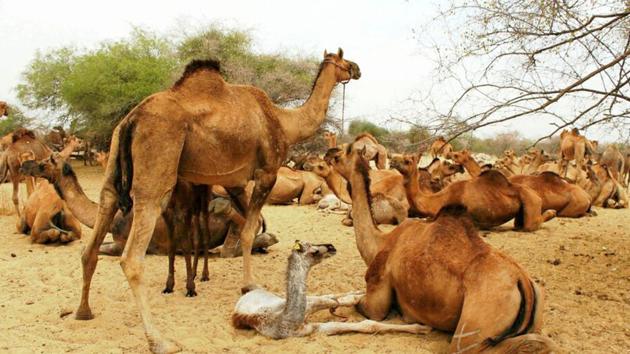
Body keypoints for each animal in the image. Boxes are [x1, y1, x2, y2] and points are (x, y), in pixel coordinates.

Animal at [75, 48, 360, 352]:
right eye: (343, 59)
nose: (356, 69)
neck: (283, 121)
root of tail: (132, 119)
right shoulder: (266, 173)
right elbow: (248, 230)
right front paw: (249, 285)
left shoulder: (233, 182)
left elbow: (251, 225)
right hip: (156, 168)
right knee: (132, 258)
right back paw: (160, 341)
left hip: (114, 156)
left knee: (95, 233)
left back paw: (83, 311)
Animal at [233, 241, 434, 338]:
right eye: (313, 251)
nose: (331, 246)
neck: (286, 320)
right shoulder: (310, 329)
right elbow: (365, 324)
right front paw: (422, 328)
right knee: (329, 298)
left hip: (295, 300)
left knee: (329, 296)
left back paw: (358, 293)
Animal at [388, 153, 556, 231]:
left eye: (407, 161)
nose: (392, 161)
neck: (436, 200)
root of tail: (536, 195)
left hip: (531, 202)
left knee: (530, 225)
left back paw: (552, 212)